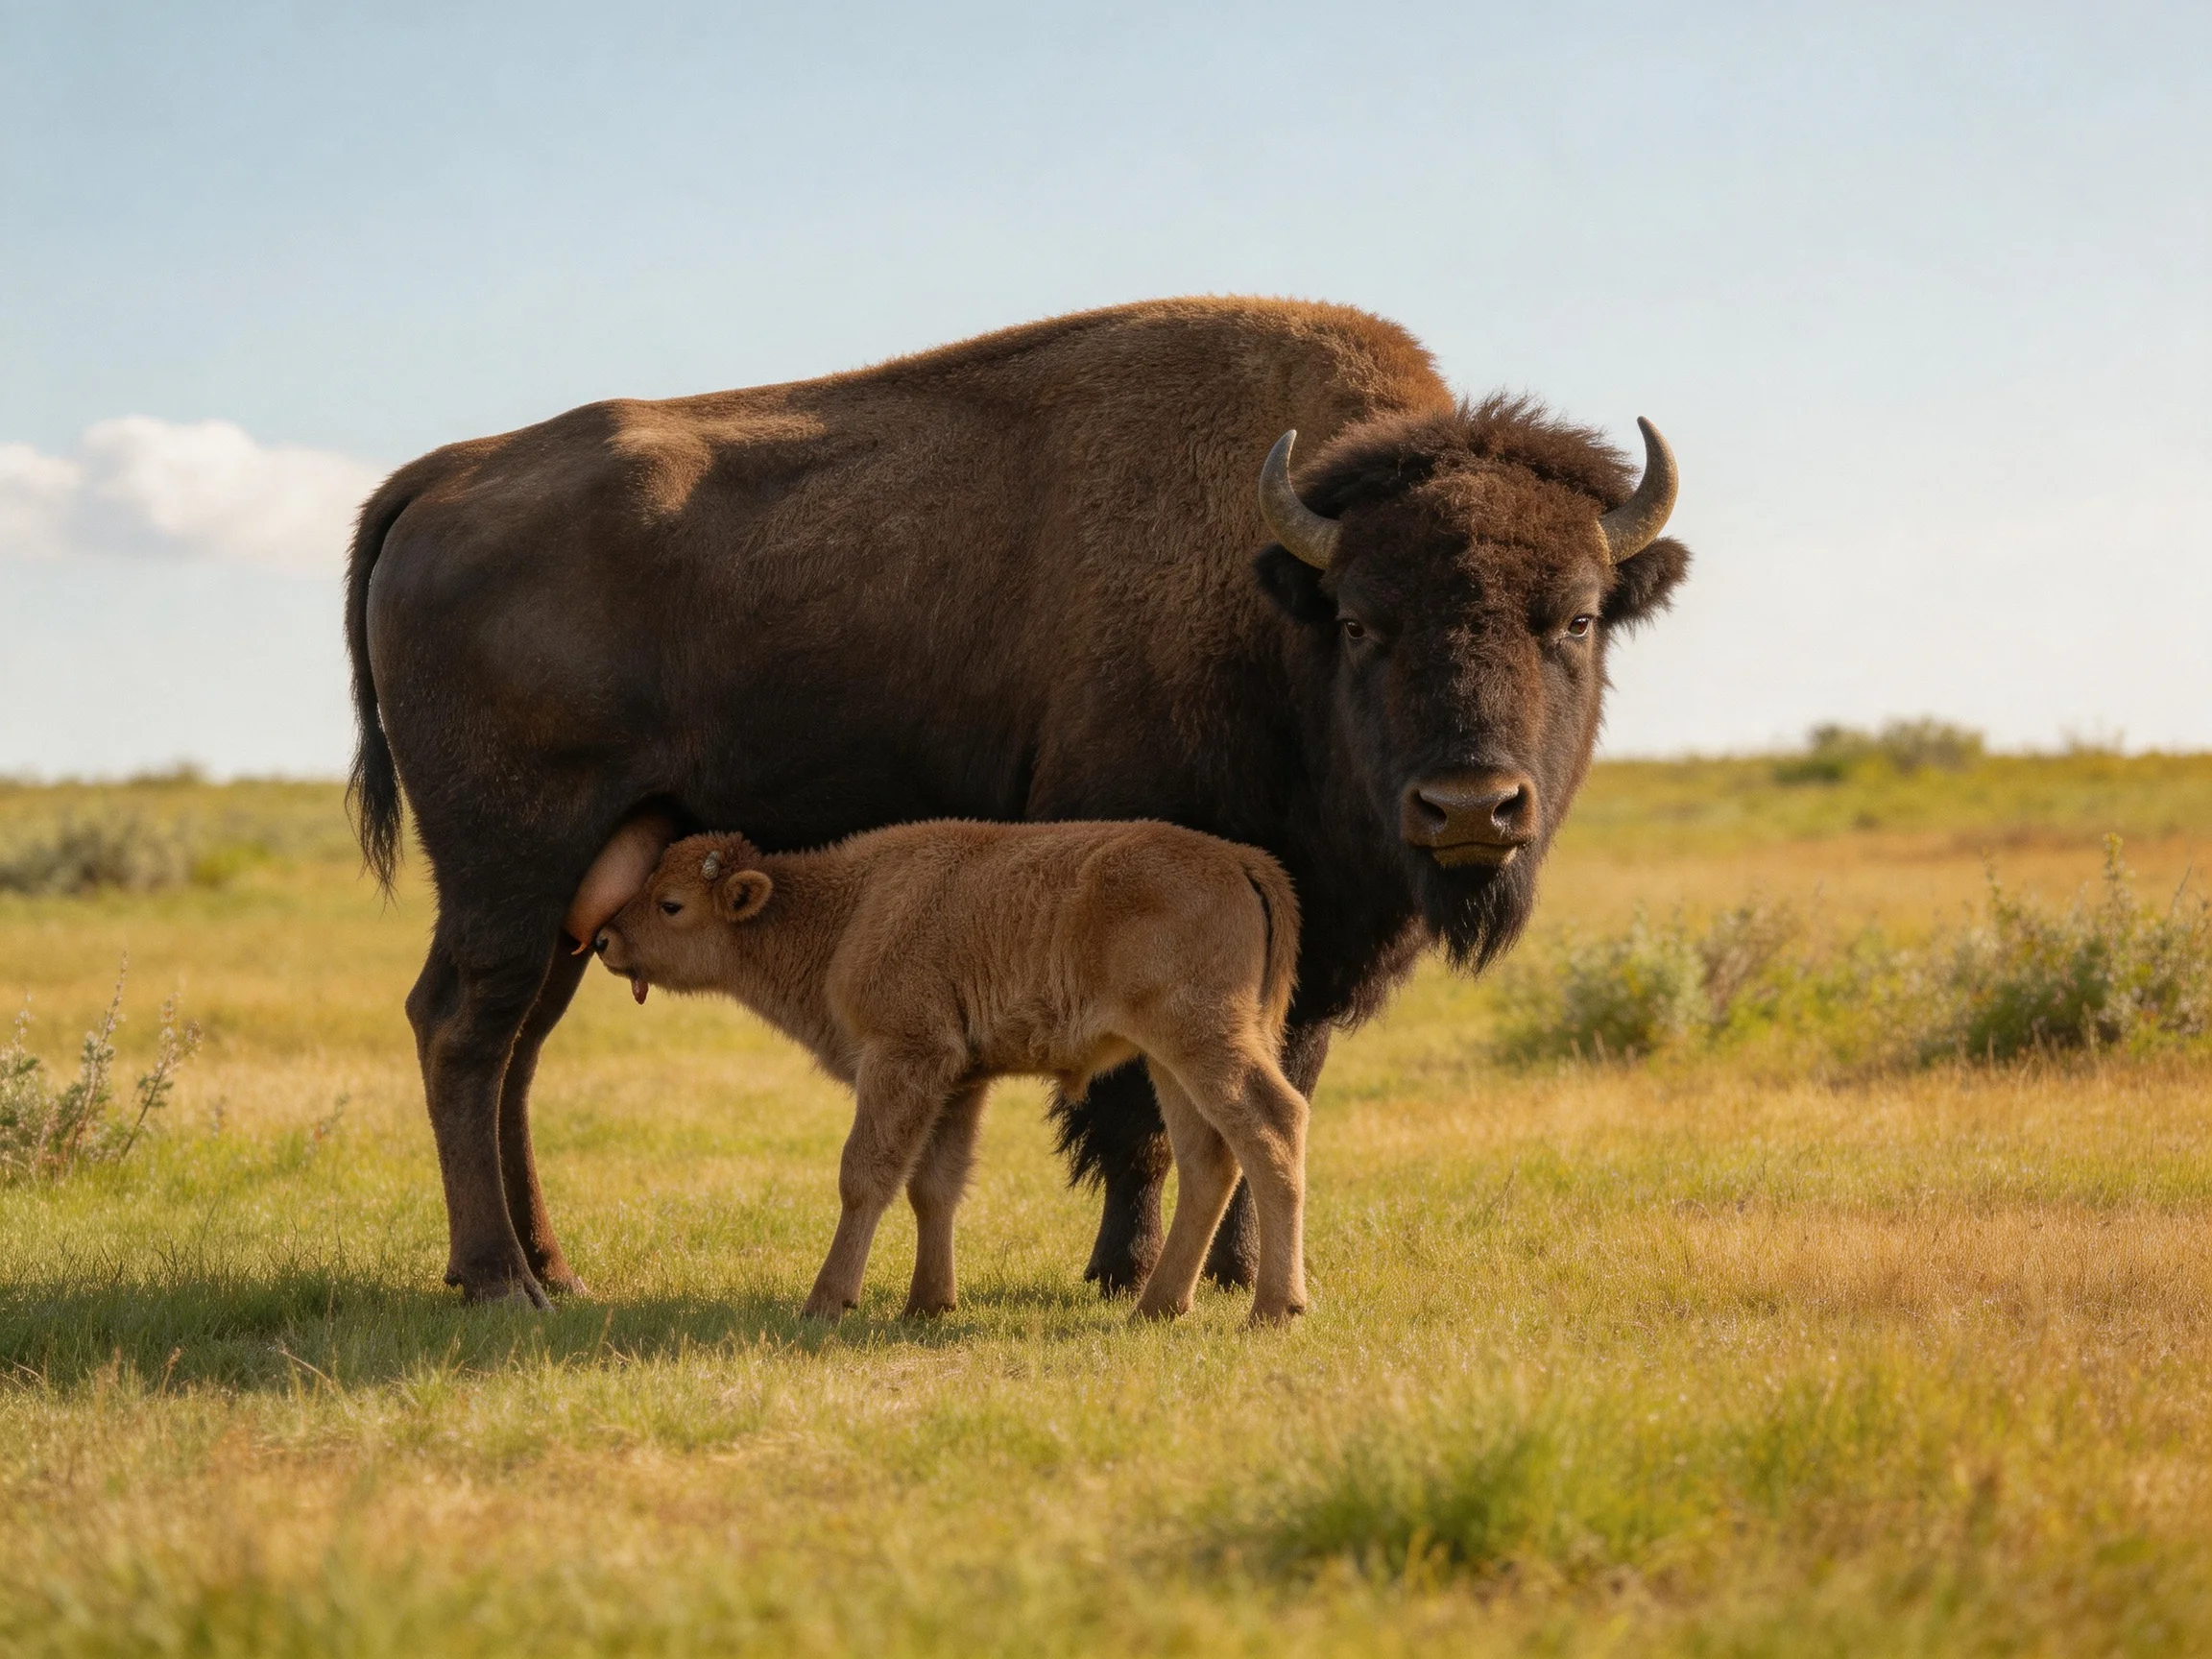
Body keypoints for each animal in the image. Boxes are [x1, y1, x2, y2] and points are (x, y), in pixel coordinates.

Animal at [592, 823, 1308, 1324]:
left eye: (671, 904)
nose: (603, 940)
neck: (847, 913)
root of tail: (1240, 859)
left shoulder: (902, 1057)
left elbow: (866, 1175)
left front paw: (827, 1301)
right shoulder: (960, 1080)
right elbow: (933, 1186)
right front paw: (927, 1304)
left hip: (1202, 1038)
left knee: (1275, 1122)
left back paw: (1274, 1309)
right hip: (1168, 1059)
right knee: (1207, 1157)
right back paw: (1157, 1307)